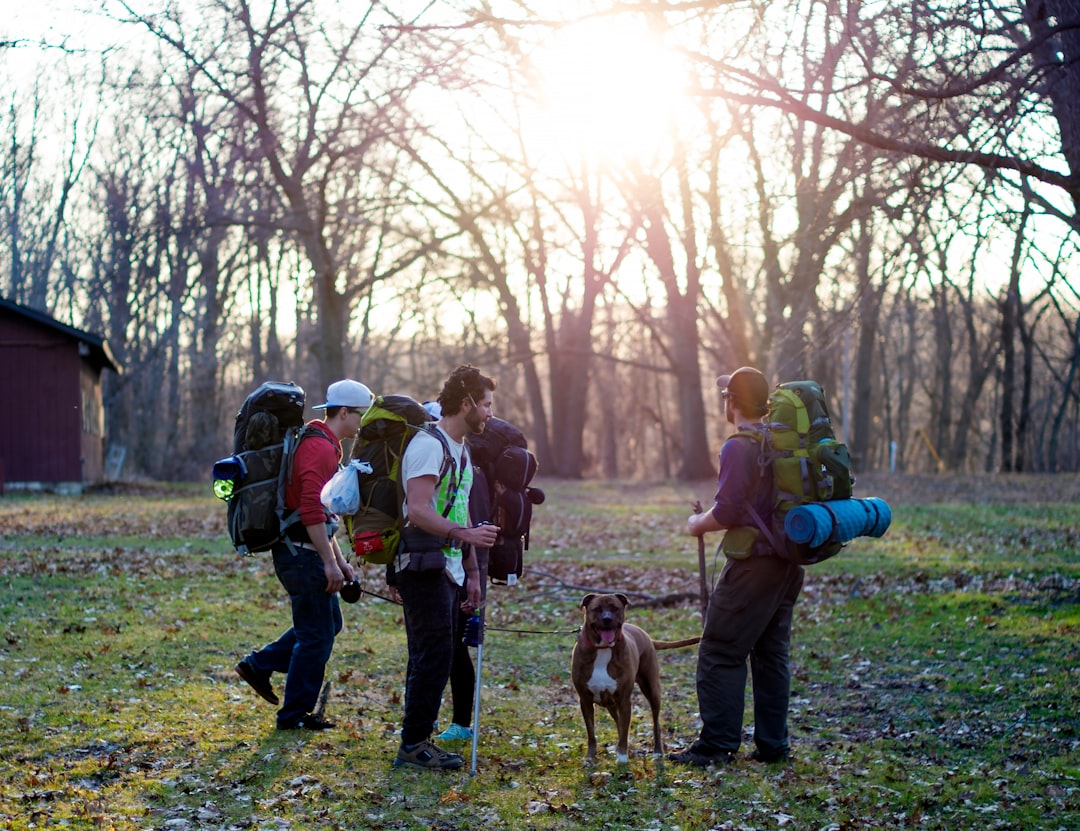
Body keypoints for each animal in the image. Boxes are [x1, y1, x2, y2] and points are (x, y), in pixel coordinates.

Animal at [574, 592, 699, 760]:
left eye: (615, 608)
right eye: (597, 609)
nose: (607, 619)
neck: (603, 649)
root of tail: (647, 636)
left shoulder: (624, 700)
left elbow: (624, 730)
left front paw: (622, 758)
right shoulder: (585, 700)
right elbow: (591, 732)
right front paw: (590, 757)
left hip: (652, 689)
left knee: (655, 723)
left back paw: (657, 751)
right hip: (612, 704)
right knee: (618, 722)